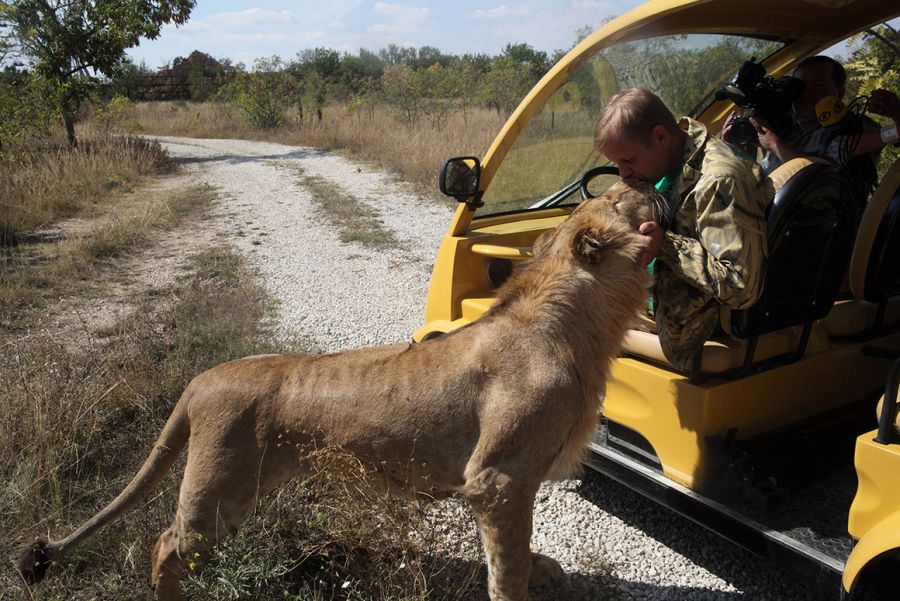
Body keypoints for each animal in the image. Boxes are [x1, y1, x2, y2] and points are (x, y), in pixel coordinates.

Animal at [17, 178, 656, 600]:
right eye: (621, 197)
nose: (642, 179)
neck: (583, 322)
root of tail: (201, 379)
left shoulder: (502, 484)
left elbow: (515, 552)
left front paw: (545, 567)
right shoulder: (497, 478)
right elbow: (507, 563)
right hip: (217, 489)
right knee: (166, 545)